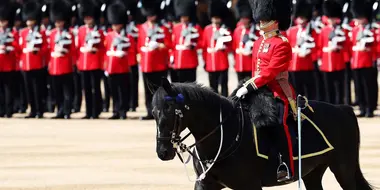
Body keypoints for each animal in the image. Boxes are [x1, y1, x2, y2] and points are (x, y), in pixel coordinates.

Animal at [152, 78, 374, 189]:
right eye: (154, 112)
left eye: (171, 110)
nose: (163, 152)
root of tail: (343, 108)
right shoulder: (206, 184)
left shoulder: (250, 186)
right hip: (313, 172)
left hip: (343, 169)